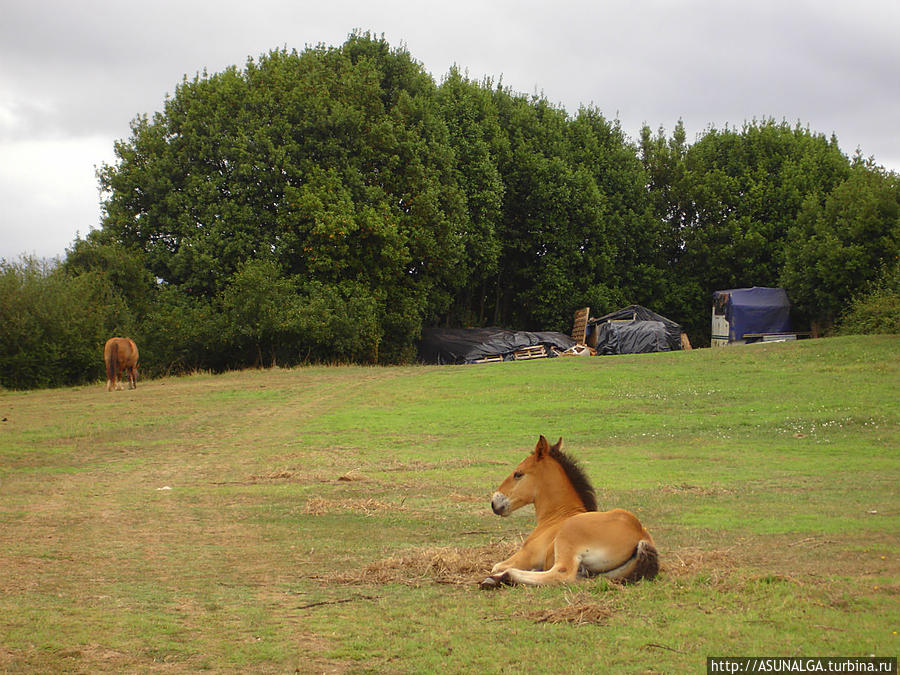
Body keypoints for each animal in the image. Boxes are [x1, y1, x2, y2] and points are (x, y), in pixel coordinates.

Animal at [482, 436, 656, 588]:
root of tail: (641, 536)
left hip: (566, 541)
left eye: (518, 473)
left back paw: (497, 579)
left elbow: (497, 566)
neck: (557, 516)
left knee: (562, 574)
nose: (494, 502)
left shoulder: (526, 555)